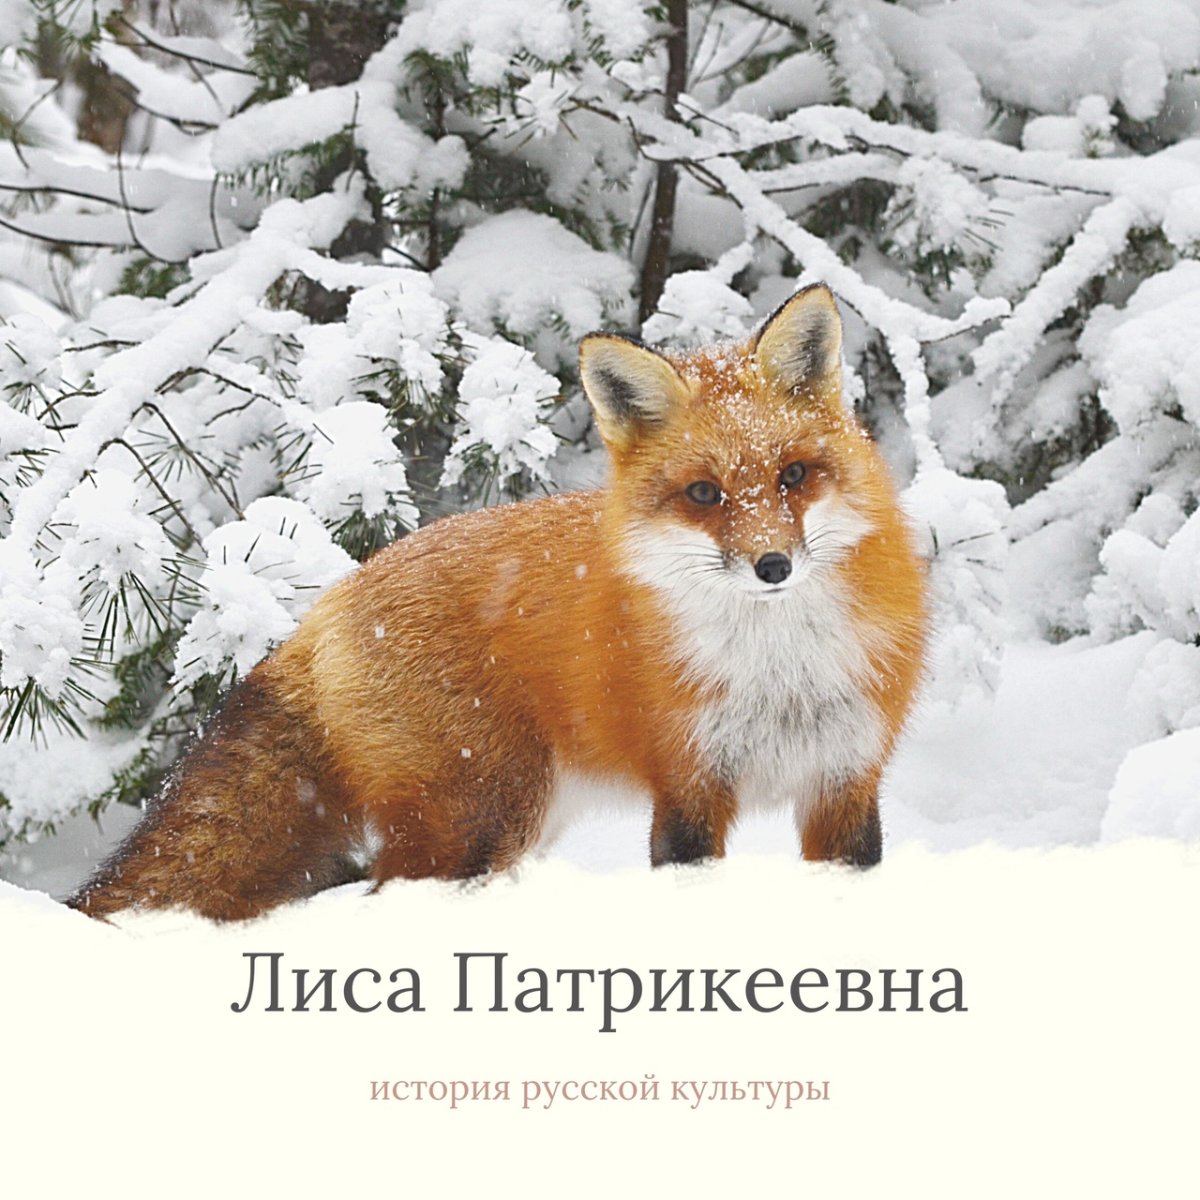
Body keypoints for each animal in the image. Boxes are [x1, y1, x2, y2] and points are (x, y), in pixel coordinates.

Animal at [68, 283, 927, 922]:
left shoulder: (845, 782)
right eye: (704, 494)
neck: (777, 670)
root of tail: (329, 601)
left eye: (793, 476)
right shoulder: (687, 786)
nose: (773, 566)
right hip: (478, 822)